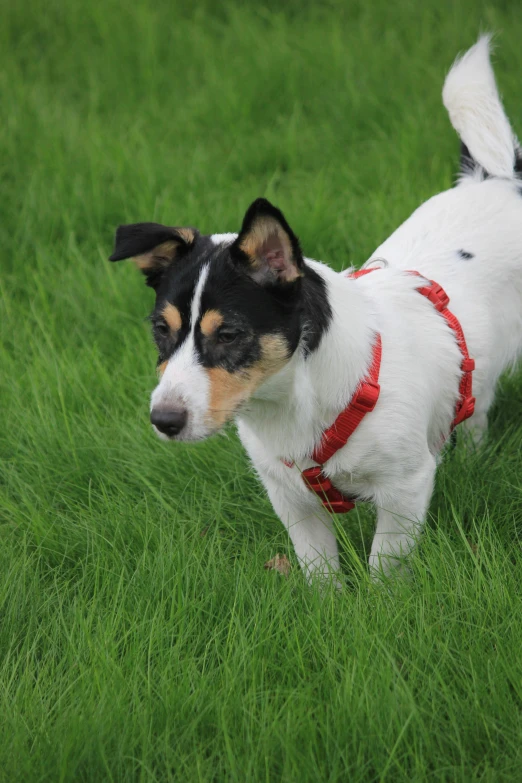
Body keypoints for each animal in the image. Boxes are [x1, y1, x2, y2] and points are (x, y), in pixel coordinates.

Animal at [108, 38, 520, 580]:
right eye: (161, 329)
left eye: (229, 334)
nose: (164, 420)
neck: (295, 400)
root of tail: (495, 177)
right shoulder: (291, 499)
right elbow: (320, 572)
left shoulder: (405, 489)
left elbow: (384, 569)